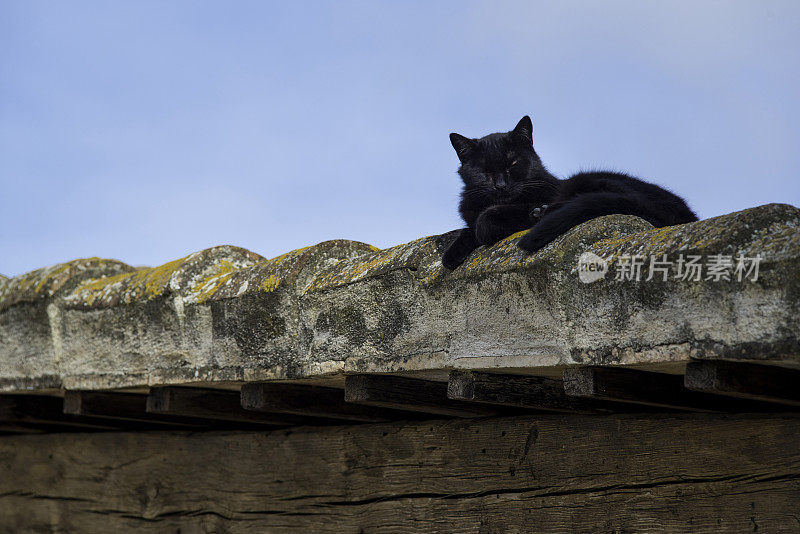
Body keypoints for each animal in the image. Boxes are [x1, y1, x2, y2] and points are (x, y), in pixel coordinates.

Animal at [440, 115, 696, 270]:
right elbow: (468, 229)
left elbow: (485, 221)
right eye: (485, 171)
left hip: (591, 181)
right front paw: (453, 253)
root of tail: (686, 211)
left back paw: (542, 213)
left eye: (512, 164)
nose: (501, 185)